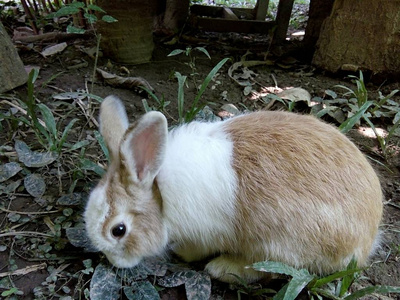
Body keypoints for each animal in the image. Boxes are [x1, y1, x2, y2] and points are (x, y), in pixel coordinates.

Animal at [83, 95, 382, 284]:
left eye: (119, 230)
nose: (113, 262)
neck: (160, 197)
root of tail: (366, 240)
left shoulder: (205, 233)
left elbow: (198, 248)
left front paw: (181, 253)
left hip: (277, 243)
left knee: (269, 270)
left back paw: (221, 268)